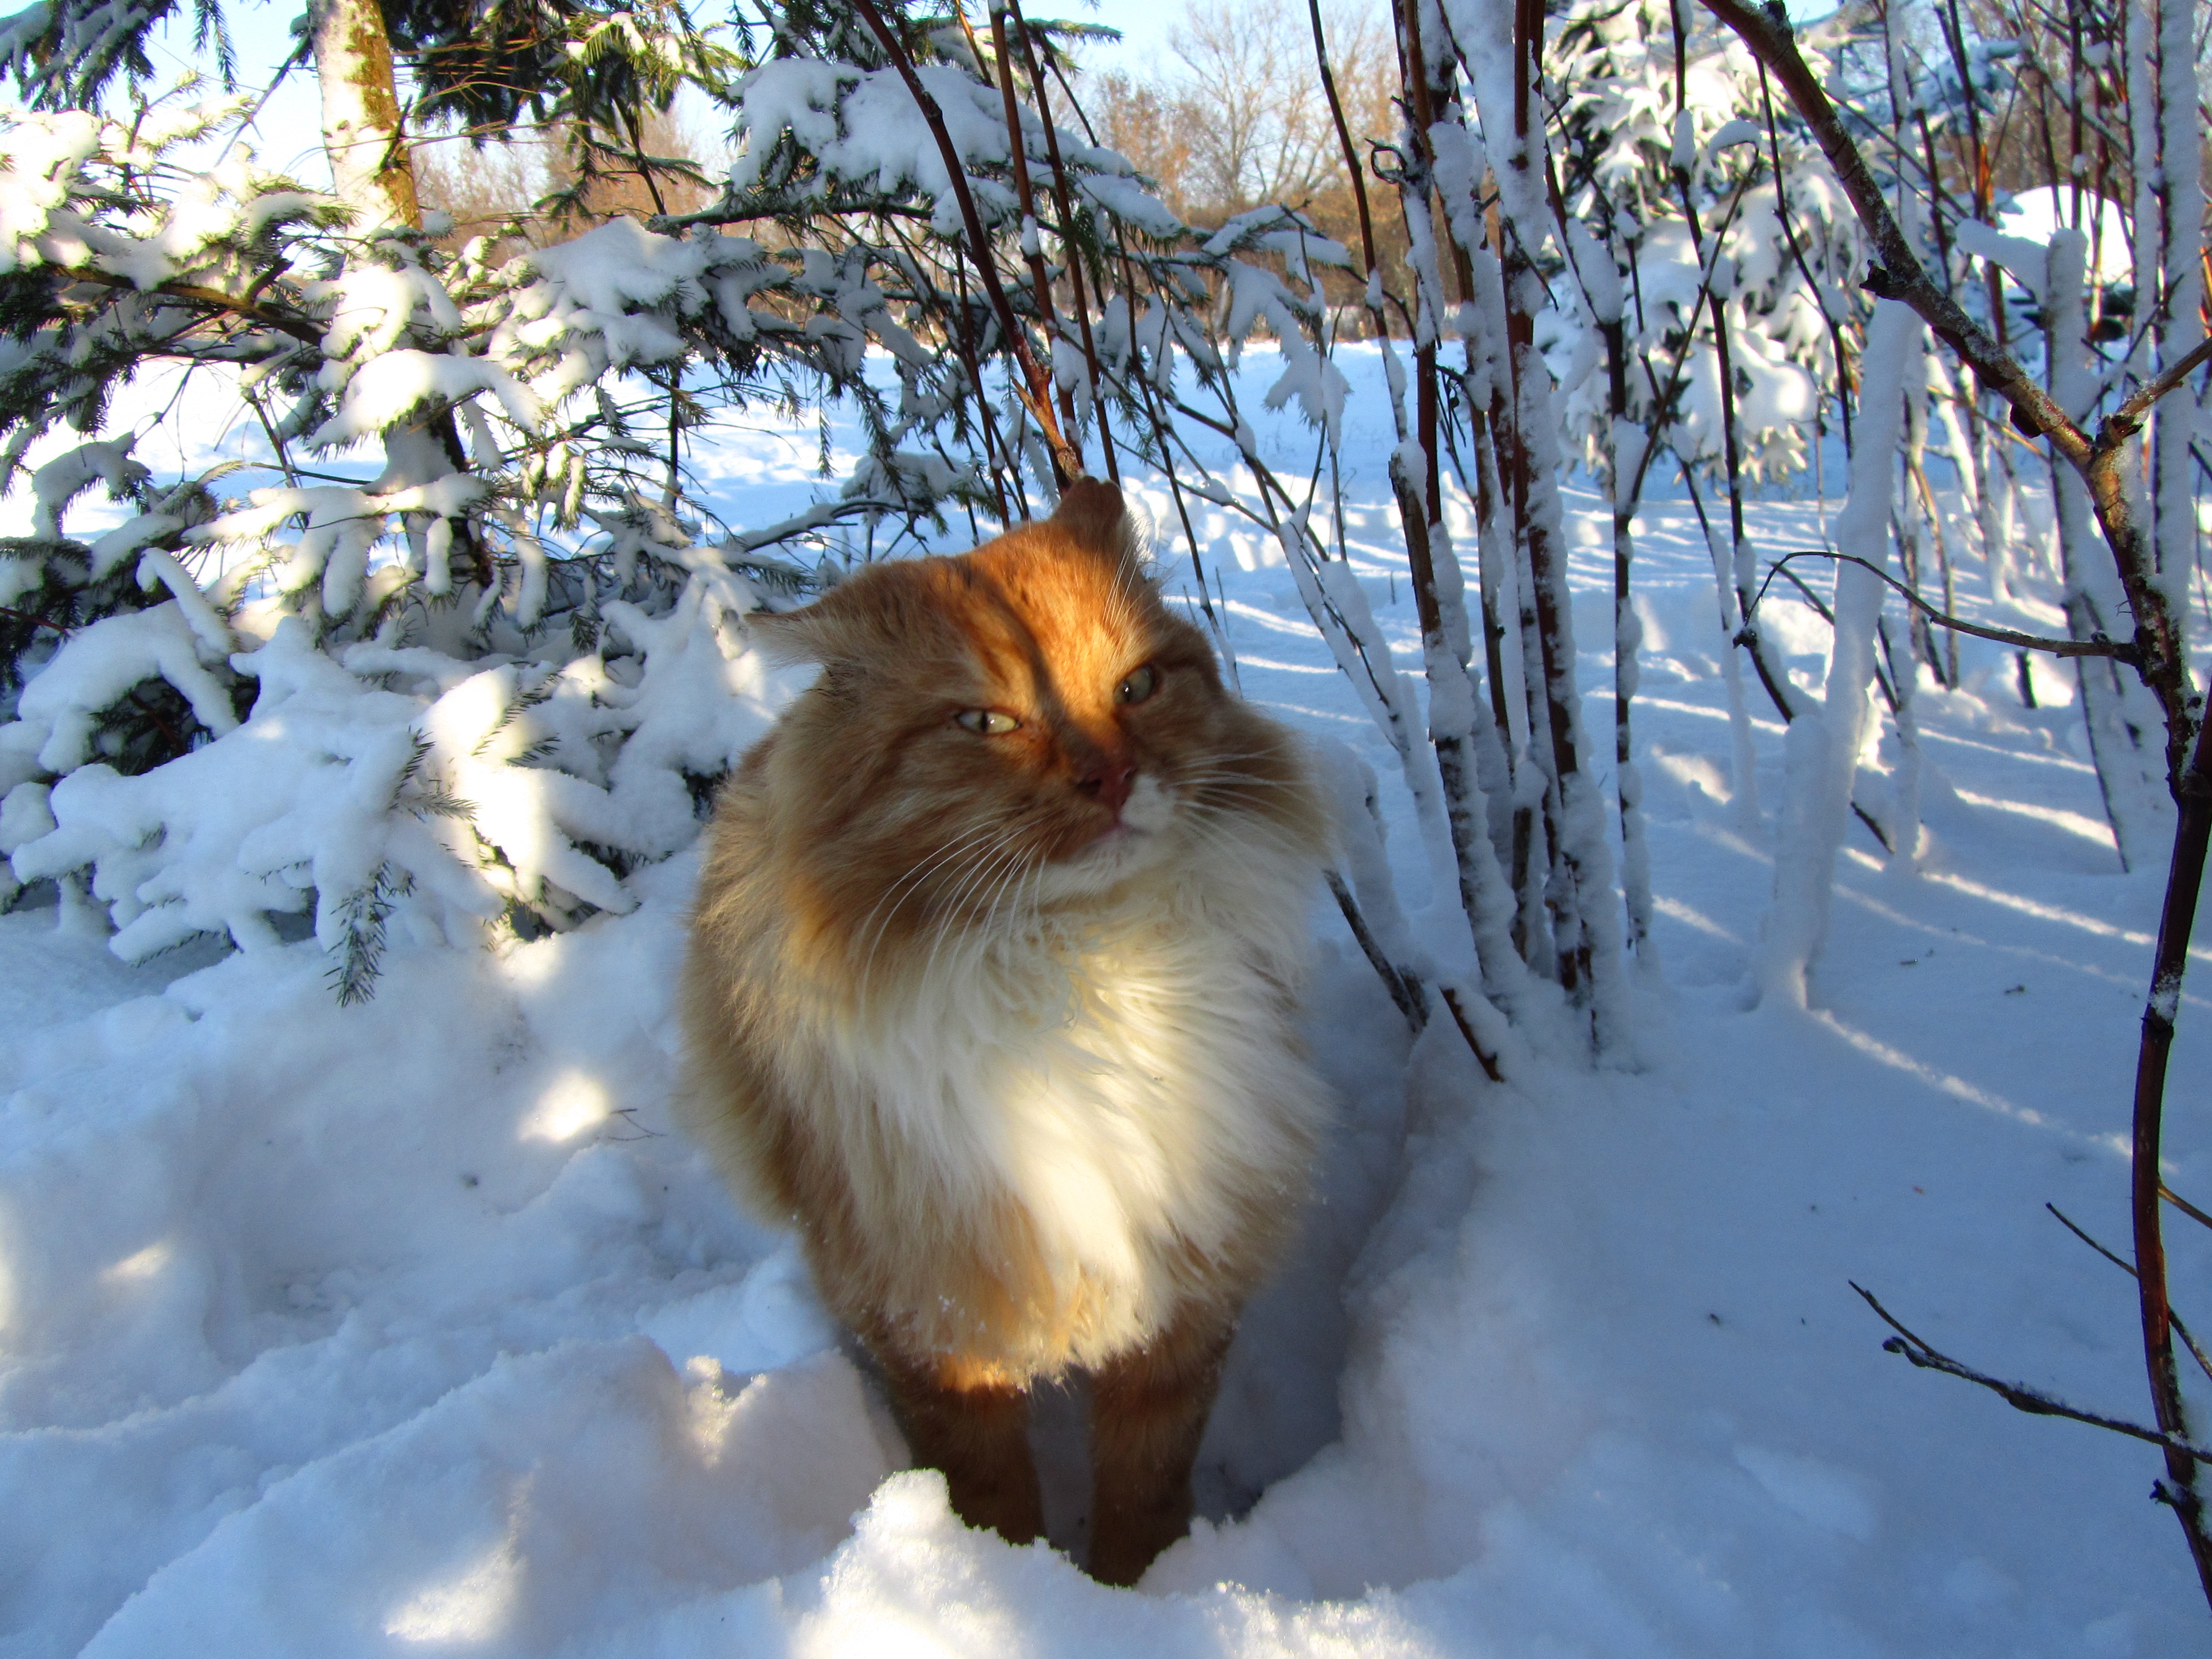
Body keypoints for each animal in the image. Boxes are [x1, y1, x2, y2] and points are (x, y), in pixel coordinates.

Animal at [672, 480, 1327, 1584]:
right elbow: (987, 1488)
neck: (1087, 966)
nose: (1114, 780)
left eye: (1139, 686)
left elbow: (1144, 1488)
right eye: (984, 721)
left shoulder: (1185, 1300)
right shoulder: (936, 1323)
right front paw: (1001, 1579)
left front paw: (1130, 1591)